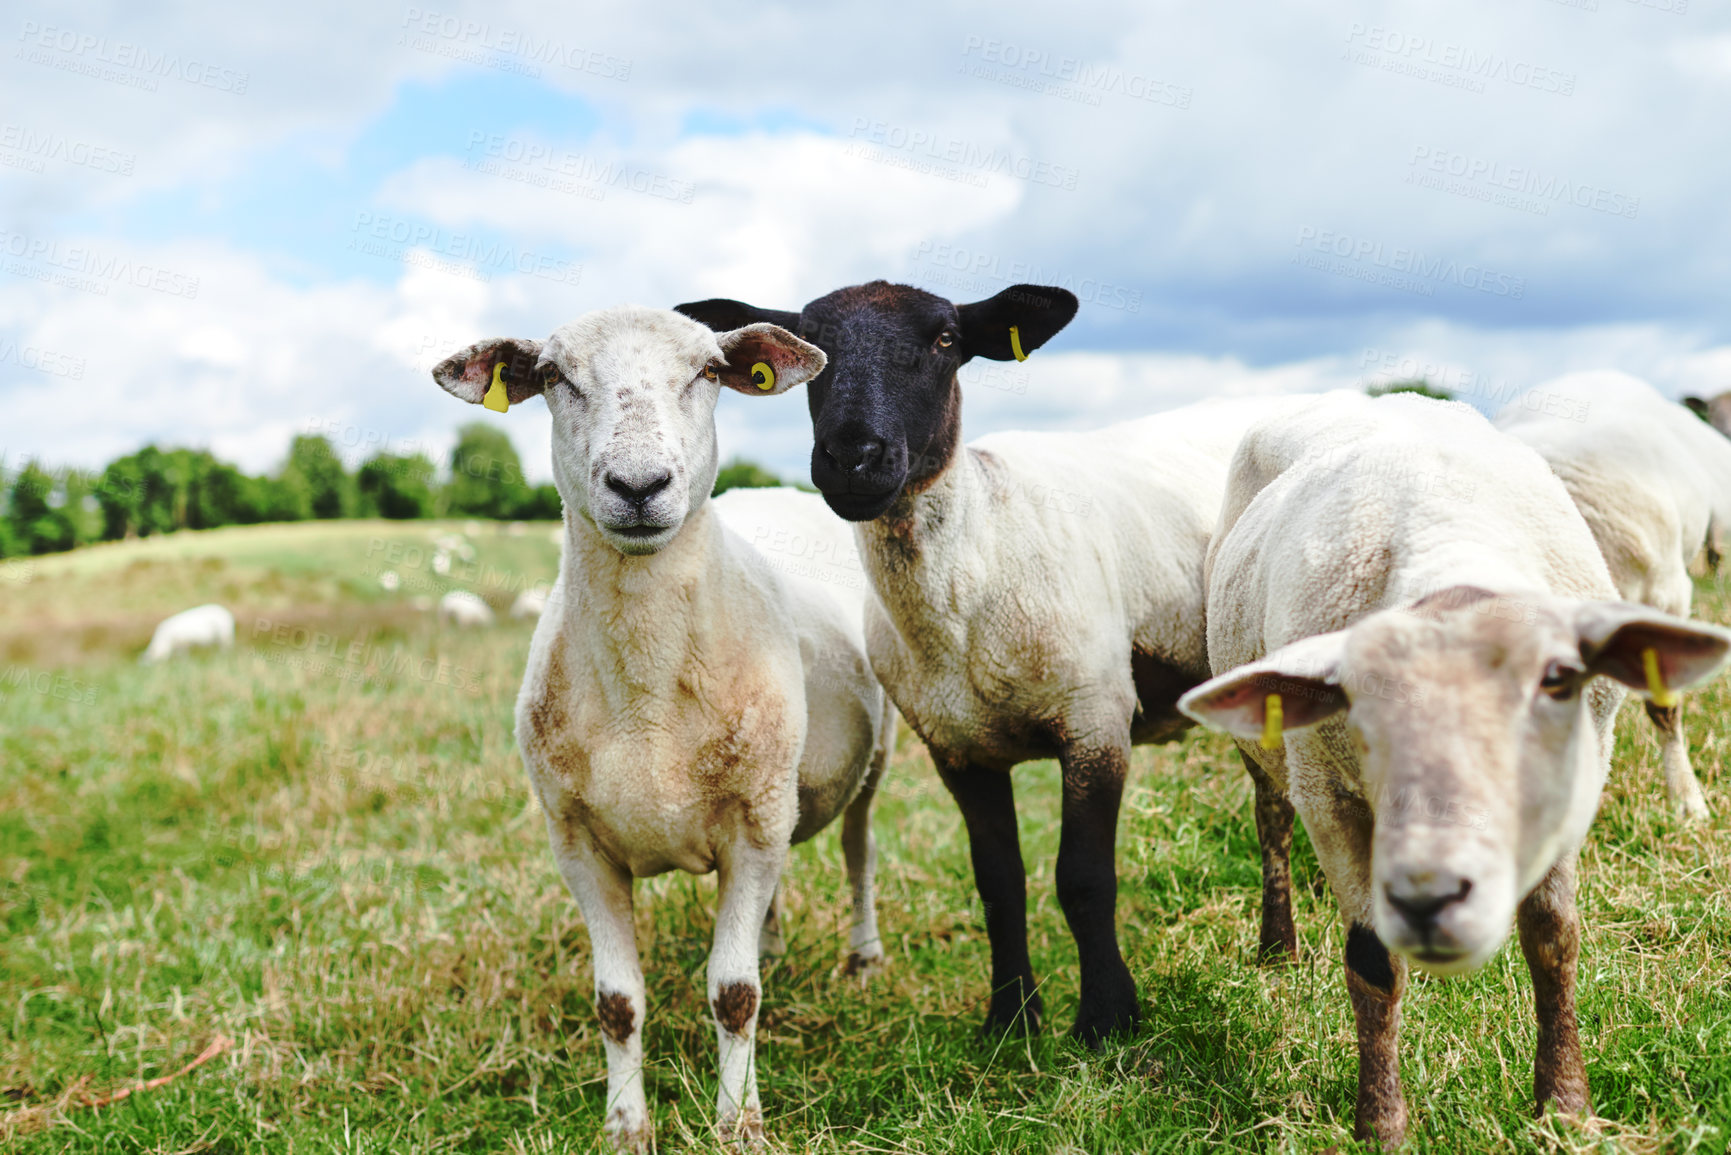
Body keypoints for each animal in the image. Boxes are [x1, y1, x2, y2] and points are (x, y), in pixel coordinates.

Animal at [675, 282, 1308, 1045]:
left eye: (946, 340)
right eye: (811, 344)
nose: (853, 456)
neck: (976, 569)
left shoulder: (1094, 717)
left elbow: (1084, 878)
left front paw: (1107, 1019)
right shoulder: (957, 749)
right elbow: (998, 883)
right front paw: (1011, 1018)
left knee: (1274, 808)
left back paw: (1281, 951)